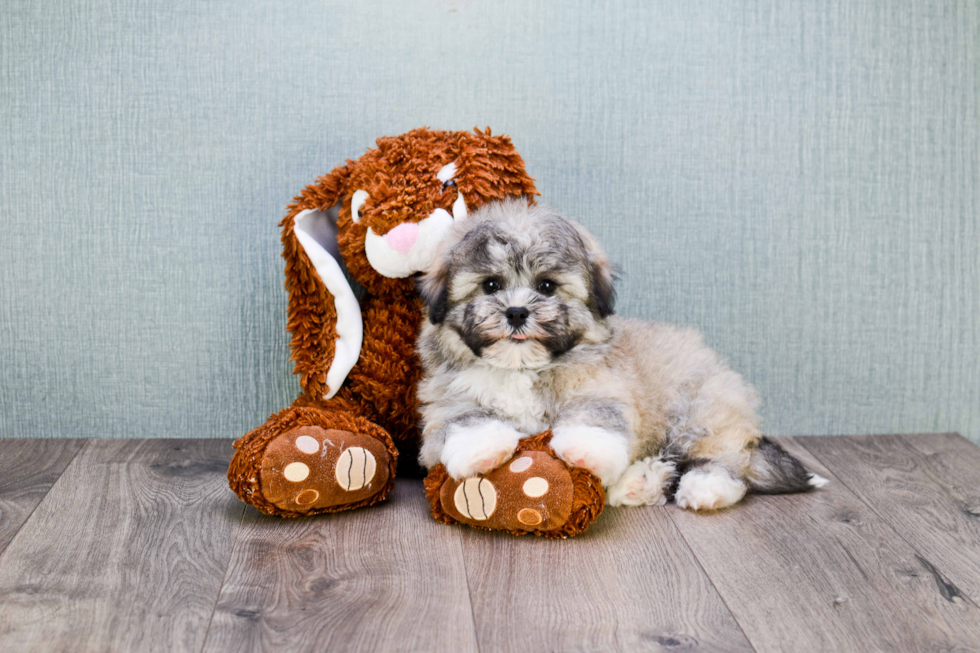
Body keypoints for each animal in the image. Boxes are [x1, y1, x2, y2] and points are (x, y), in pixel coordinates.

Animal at [414, 197, 828, 510]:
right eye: (490, 285)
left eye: (546, 286)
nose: (516, 312)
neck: (521, 368)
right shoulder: (447, 395)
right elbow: (462, 417)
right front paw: (480, 449)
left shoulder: (603, 385)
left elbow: (596, 414)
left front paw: (584, 450)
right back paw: (641, 482)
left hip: (699, 409)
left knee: (722, 457)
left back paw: (705, 487)